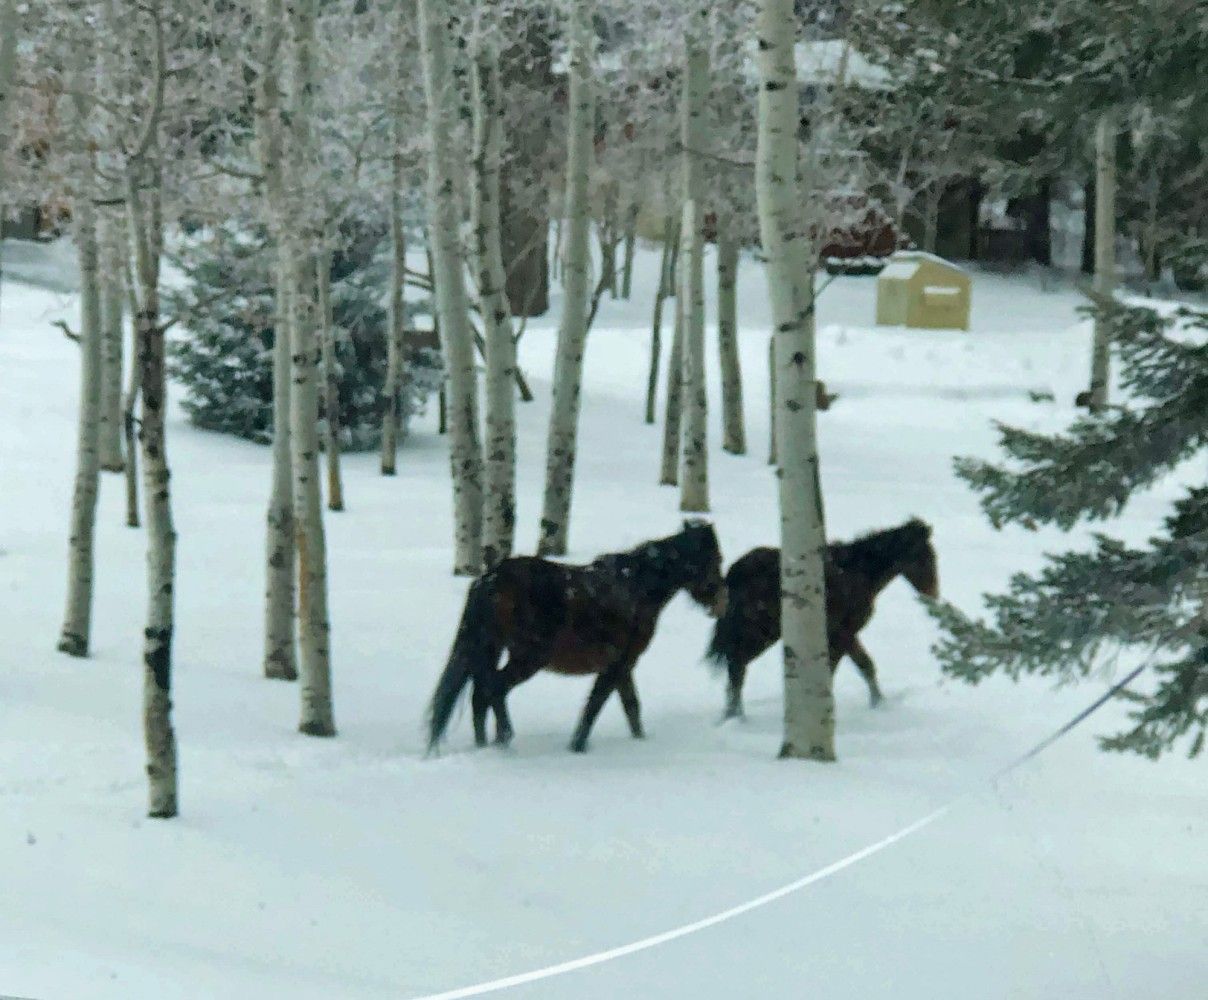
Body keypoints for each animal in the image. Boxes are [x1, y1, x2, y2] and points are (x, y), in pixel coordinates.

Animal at [427, 520, 727, 754]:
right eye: (716, 560)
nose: (721, 604)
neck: (636, 589)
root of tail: (490, 580)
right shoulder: (617, 665)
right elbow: (594, 707)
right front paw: (577, 748)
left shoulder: (623, 666)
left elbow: (631, 708)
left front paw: (639, 742)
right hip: (528, 657)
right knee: (495, 689)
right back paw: (504, 741)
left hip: (492, 649)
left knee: (480, 696)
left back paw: (485, 746)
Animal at [706, 518, 938, 720]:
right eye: (923, 557)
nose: (933, 596)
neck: (856, 572)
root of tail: (736, 570)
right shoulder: (843, 634)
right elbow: (844, 670)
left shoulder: (846, 635)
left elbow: (865, 667)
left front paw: (879, 704)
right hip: (760, 633)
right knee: (737, 665)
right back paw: (736, 717)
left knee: (736, 667)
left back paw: (733, 716)